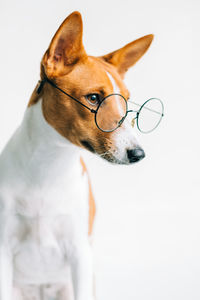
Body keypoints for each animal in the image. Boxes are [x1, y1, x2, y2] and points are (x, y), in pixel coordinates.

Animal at [0, 11, 153, 300]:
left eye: (126, 102)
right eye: (93, 98)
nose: (138, 153)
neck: (48, 166)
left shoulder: (80, 251)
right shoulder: (3, 251)